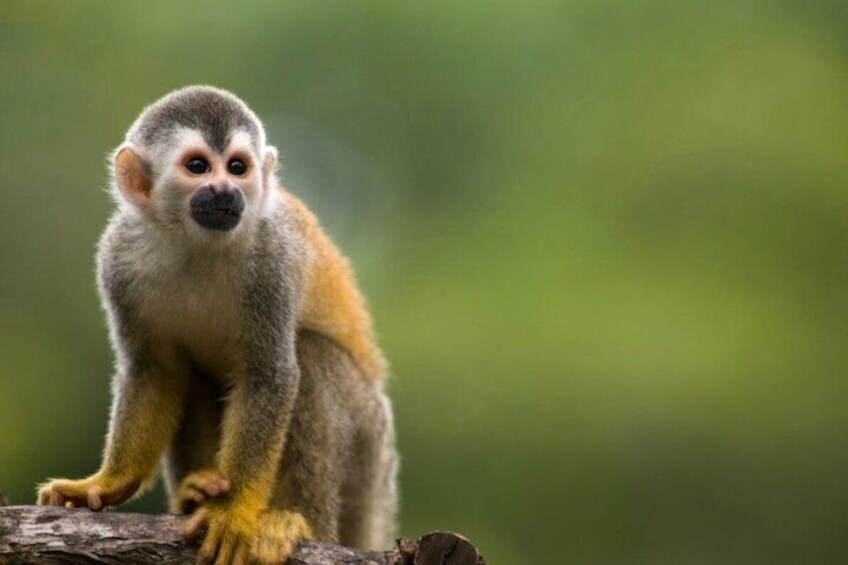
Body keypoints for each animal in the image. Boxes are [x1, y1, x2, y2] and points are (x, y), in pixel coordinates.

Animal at [36, 85, 398, 565]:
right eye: (198, 166)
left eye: (237, 167)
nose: (225, 189)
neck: (196, 242)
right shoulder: (116, 259)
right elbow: (154, 370)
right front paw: (108, 483)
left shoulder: (272, 259)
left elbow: (269, 375)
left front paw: (234, 509)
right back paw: (195, 493)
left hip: (370, 454)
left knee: (312, 356)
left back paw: (296, 521)